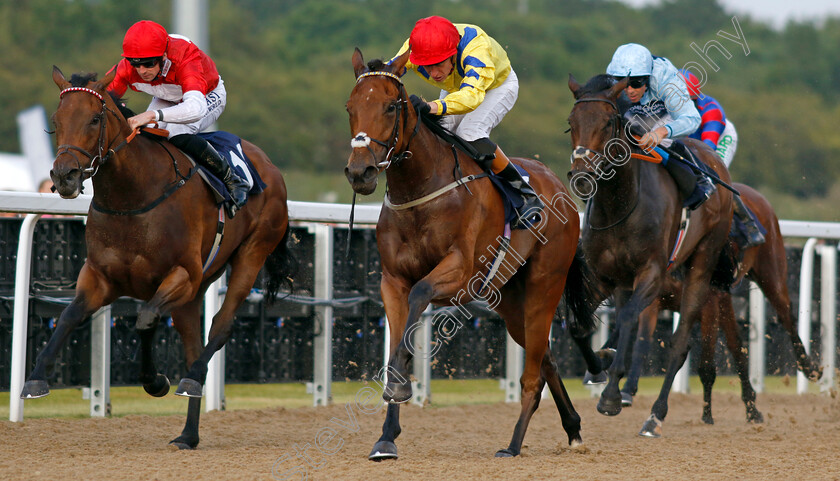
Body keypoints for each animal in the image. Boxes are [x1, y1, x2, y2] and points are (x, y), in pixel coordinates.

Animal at [23, 65, 296, 448]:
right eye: (56, 120)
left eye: (94, 119)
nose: (64, 176)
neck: (132, 196)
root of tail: (270, 166)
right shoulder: (99, 277)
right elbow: (69, 317)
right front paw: (35, 379)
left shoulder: (181, 275)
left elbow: (146, 319)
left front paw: (156, 382)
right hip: (194, 292)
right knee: (195, 343)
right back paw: (188, 434)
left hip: (251, 253)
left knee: (221, 326)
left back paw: (191, 379)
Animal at [348, 48, 604, 458]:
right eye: (350, 108)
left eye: (389, 106)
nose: (360, 172)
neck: (421, 189)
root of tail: (555, 184)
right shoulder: (393, 281)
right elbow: (399, 332)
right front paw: (386, 435)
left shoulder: (460, 273)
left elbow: (420, 295)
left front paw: (400, 386)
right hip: (509, 298)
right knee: (544, 356)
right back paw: (573, 428)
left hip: (543, 285)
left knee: (533, 374)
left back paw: (513, 445)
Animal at [568, 73, 740, 434]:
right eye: (571, 122)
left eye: (608, 123)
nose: (582, 177)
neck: (621, 204)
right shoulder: (602, 276)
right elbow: (578, 323)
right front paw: (599, 367)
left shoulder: (652, 273)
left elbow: (630, 319)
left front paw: (610, 396)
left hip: (701, 267)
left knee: (679, 344)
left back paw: (655, 415)